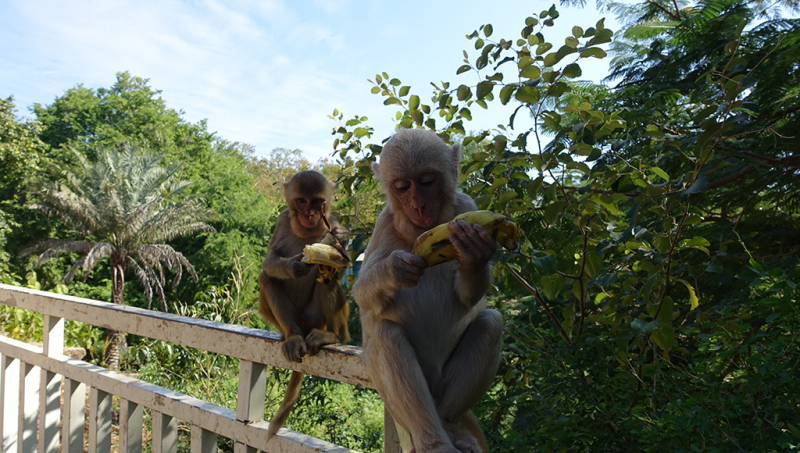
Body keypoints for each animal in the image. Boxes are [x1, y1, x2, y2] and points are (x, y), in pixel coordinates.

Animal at [260, 169, 350, 438]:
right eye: (301, 201)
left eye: (317, 202)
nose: (310, 215)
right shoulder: (282, 220)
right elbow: (270, 260)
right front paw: (294, 266)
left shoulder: (333, 224)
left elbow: (338, 265)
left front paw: (342, 238)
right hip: (284, 322)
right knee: (268, 278)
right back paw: (293, 337)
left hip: (316, 318)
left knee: (326, 277)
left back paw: (335, 336)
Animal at [354, 128, 504, 452]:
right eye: (402, 187)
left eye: (426, 182)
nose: (418, 205)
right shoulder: (384, 224)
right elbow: (362, 295)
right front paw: (394, 270)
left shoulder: (468, 208)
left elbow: (470, 298)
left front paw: (475, 252)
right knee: (385, 336)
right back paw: (433, 441)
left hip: (442, 387)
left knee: (491, 323)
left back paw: (449, 425)